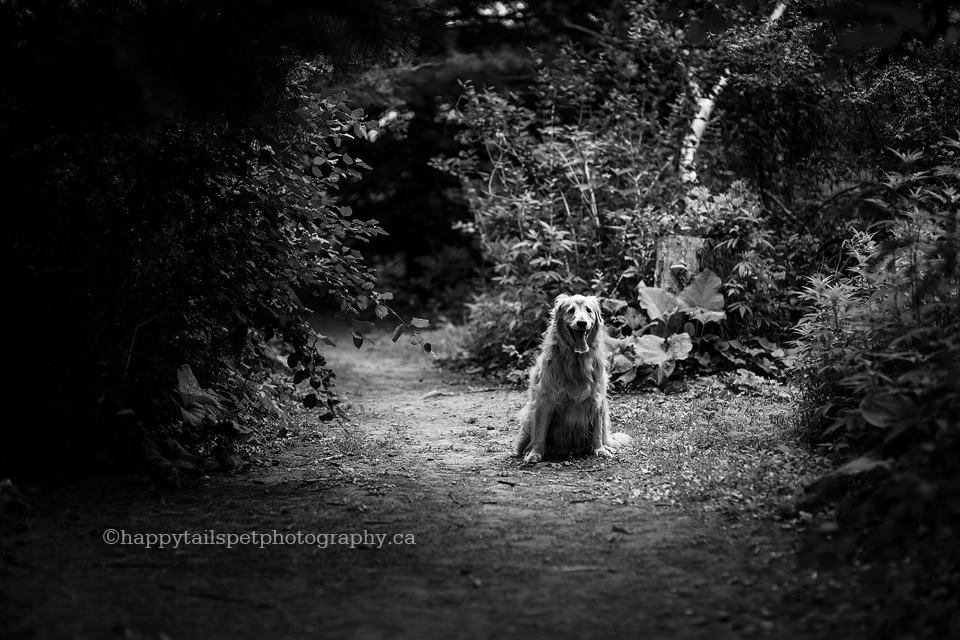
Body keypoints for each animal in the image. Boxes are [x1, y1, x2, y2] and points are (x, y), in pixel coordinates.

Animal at [512, 296, 632, 464]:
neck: (576, 361)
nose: (582, 323)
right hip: (529, 416)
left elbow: (597, 431)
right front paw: (535, 453)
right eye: (570, 311)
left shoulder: (597, 399)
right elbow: (540, 433)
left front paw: (599, 450)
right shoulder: (545, 400)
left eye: (588, 310)